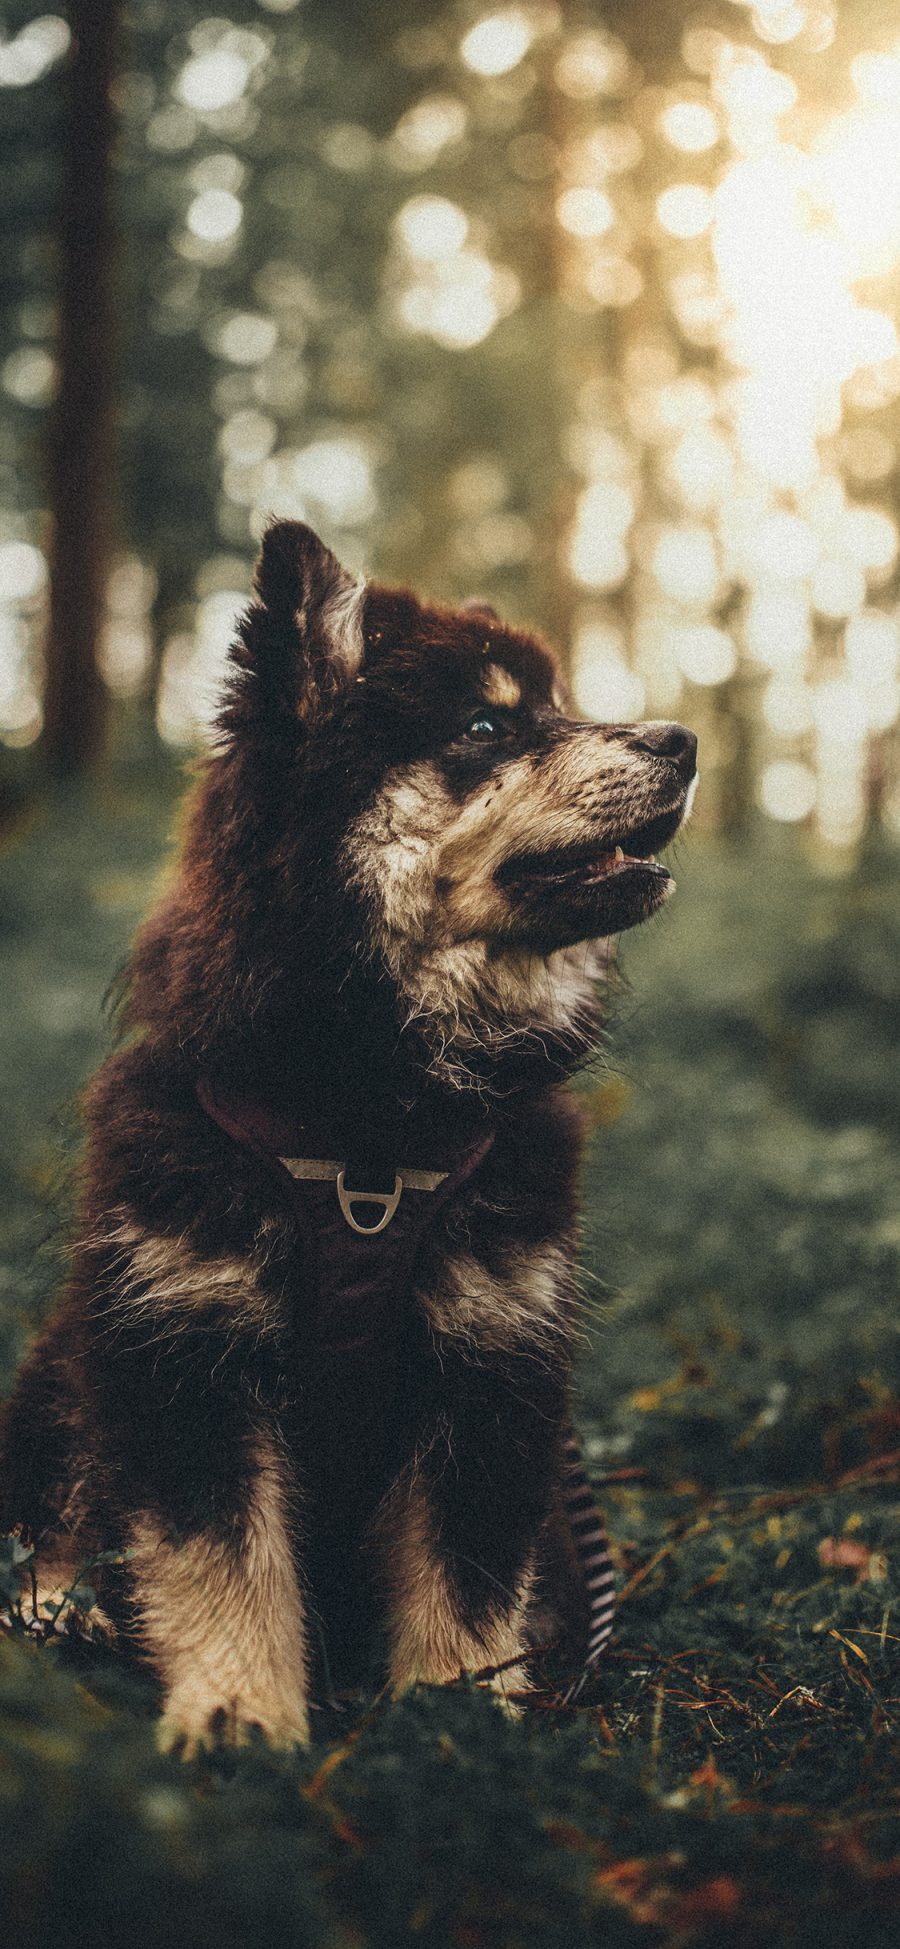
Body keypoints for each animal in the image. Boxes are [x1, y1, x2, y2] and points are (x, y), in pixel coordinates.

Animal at [0, 522, 697, 1754]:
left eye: (558, 704)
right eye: (486, 727)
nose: (684, 740)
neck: (374, 1117)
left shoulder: (494, 1362)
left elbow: (467, 1577)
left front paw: (458, 1719)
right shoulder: (185, 1343)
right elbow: (221, 1556)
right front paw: (237, 1711)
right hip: (65, 1373)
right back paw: (55, 1605)